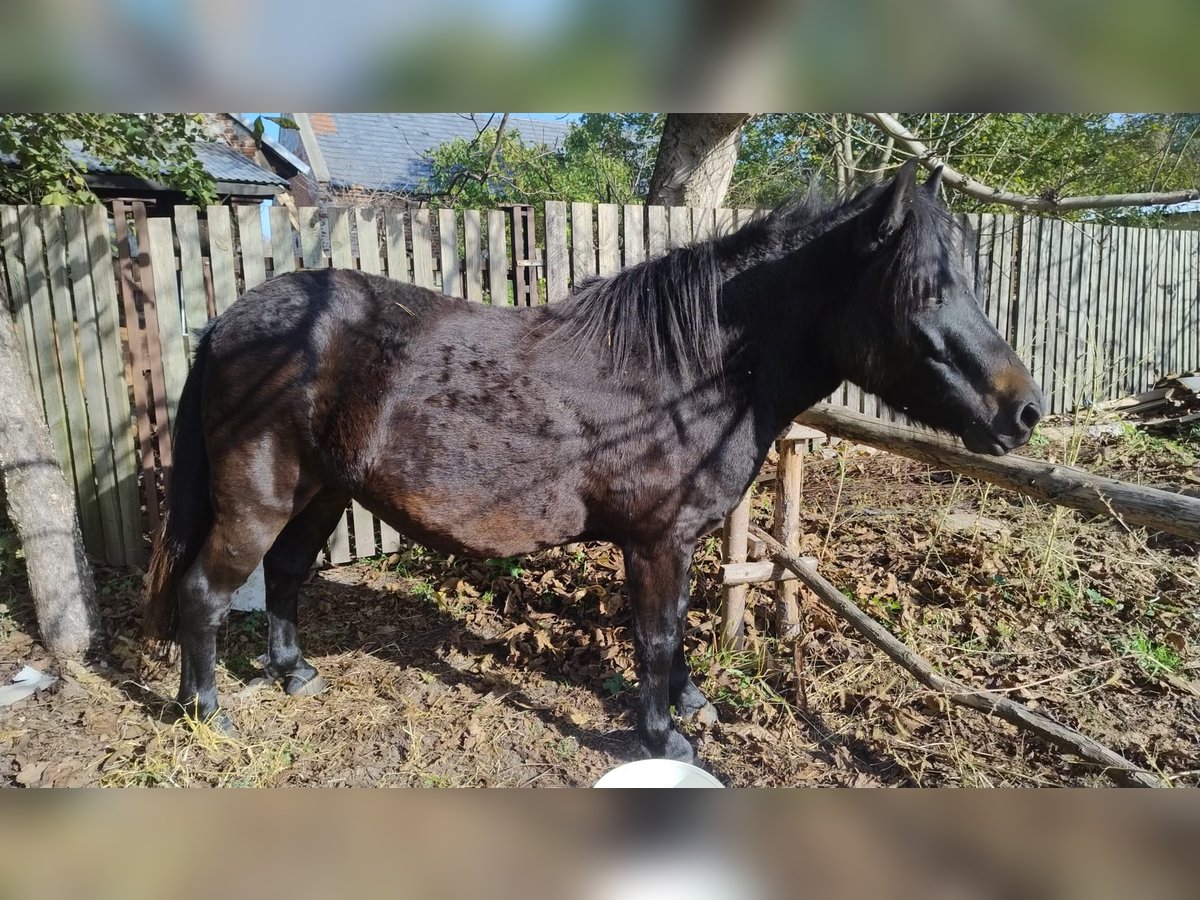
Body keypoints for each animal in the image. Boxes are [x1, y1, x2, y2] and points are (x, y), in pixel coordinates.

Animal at [142, 160, 1041, 763]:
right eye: (924, 292)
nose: (1022, 411)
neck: (687, 371)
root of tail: (229, 321)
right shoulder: (655, 542)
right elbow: (655, 635)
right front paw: (664, 737)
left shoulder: (679, 542)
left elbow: (677, 631)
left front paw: (693, 704)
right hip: (258, 497)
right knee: (206, 593)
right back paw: (205, 711)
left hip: (322, 493)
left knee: (287, 574)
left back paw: (294, 674)